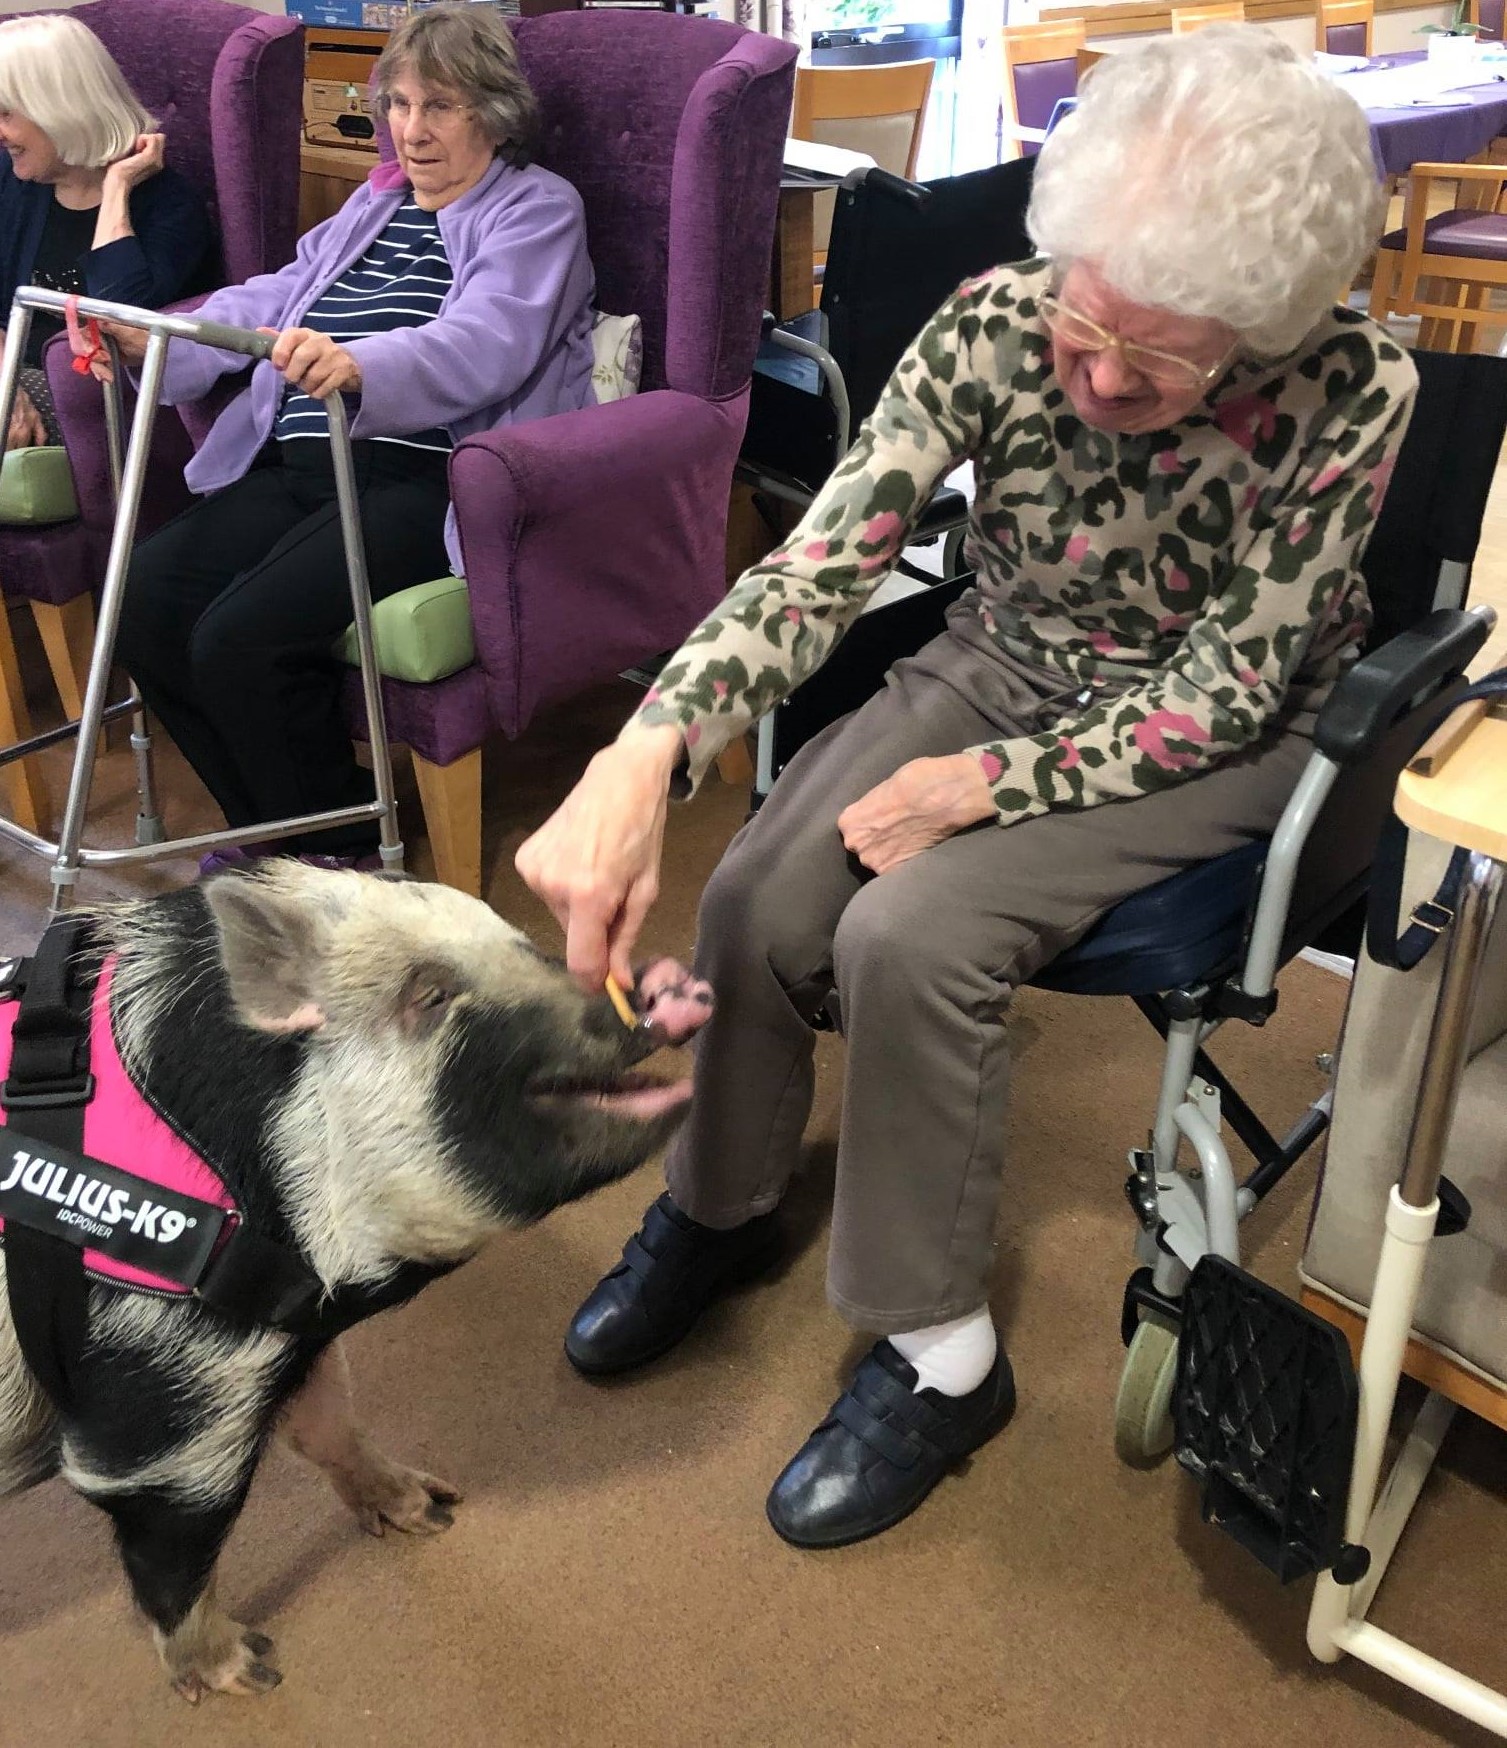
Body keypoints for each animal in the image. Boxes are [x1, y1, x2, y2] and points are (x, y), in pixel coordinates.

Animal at [0, 867, 716, 1699]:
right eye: (429, 994)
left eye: (528, 944)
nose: (662, 983)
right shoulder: (155, 1403)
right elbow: (171, 1555)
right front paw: (249, 1671)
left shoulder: (292, 1340)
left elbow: (330, 1427)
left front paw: (434, 1509)